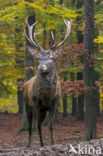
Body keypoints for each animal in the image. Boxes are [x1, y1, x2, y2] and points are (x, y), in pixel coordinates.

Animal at [23, 17, 72, 147]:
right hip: (27, 106)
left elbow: (51, 126)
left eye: (51, 57)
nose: (41, 67)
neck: (46, 95)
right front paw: (30, 145)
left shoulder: (54, 103)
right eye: (39, 58)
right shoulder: (35, 102)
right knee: (31, 125)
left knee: (40, 125)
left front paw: (52, 143)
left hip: (43, 111)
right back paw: (30, 144)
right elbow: (33, 126)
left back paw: (42, 144)